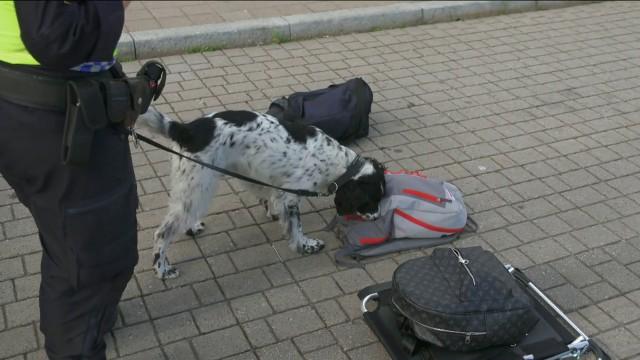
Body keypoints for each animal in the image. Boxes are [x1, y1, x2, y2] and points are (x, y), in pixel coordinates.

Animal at [137, 108, 382, 280]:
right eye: (370, 202)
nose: (378, 217)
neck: (336, 161)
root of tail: (186, 129)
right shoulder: (291, 195)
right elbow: (296, 226)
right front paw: (305, 245)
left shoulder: (270, 182)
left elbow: (270, 201)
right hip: (198, 186)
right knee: (163, 233)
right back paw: (162, 269)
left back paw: (192, 228)